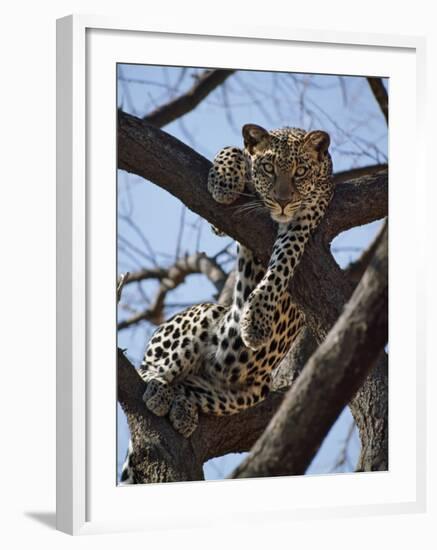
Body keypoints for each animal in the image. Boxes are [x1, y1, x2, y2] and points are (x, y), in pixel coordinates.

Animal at [117, 124, 332, 484]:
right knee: (151, 368)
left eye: (301, 171)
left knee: (189, 386)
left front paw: (257, 320)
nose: (283, 201)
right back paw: (159, 389)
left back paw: (181, 407)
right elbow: (232, 150)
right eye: (268, 168)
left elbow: (282, 263)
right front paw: (224, 181)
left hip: (246, 391)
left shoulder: (305, 218)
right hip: (203, 315)